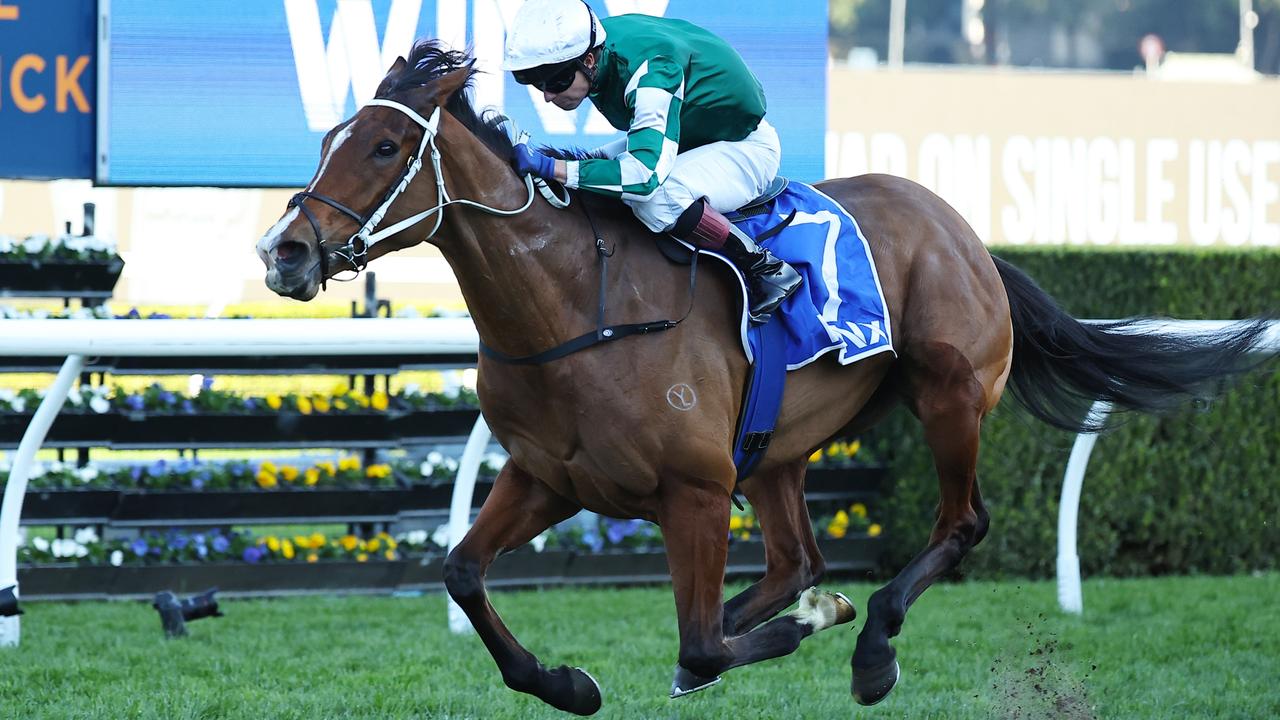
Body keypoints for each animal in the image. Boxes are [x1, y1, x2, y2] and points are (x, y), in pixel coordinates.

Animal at [254, 44, 1264, 712]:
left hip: (948, 396)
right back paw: (806, 604)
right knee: (795, 561)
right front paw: (565, 682)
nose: (284, 252)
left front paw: (801, 632)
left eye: (385, 149)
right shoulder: (549, 477)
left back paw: (870, 642)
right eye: (330, 138)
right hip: (777, 450)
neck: (577, 306)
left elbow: (702, 647)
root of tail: (967, 235)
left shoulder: (693, 491)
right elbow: (464, 571)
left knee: (959, 523)